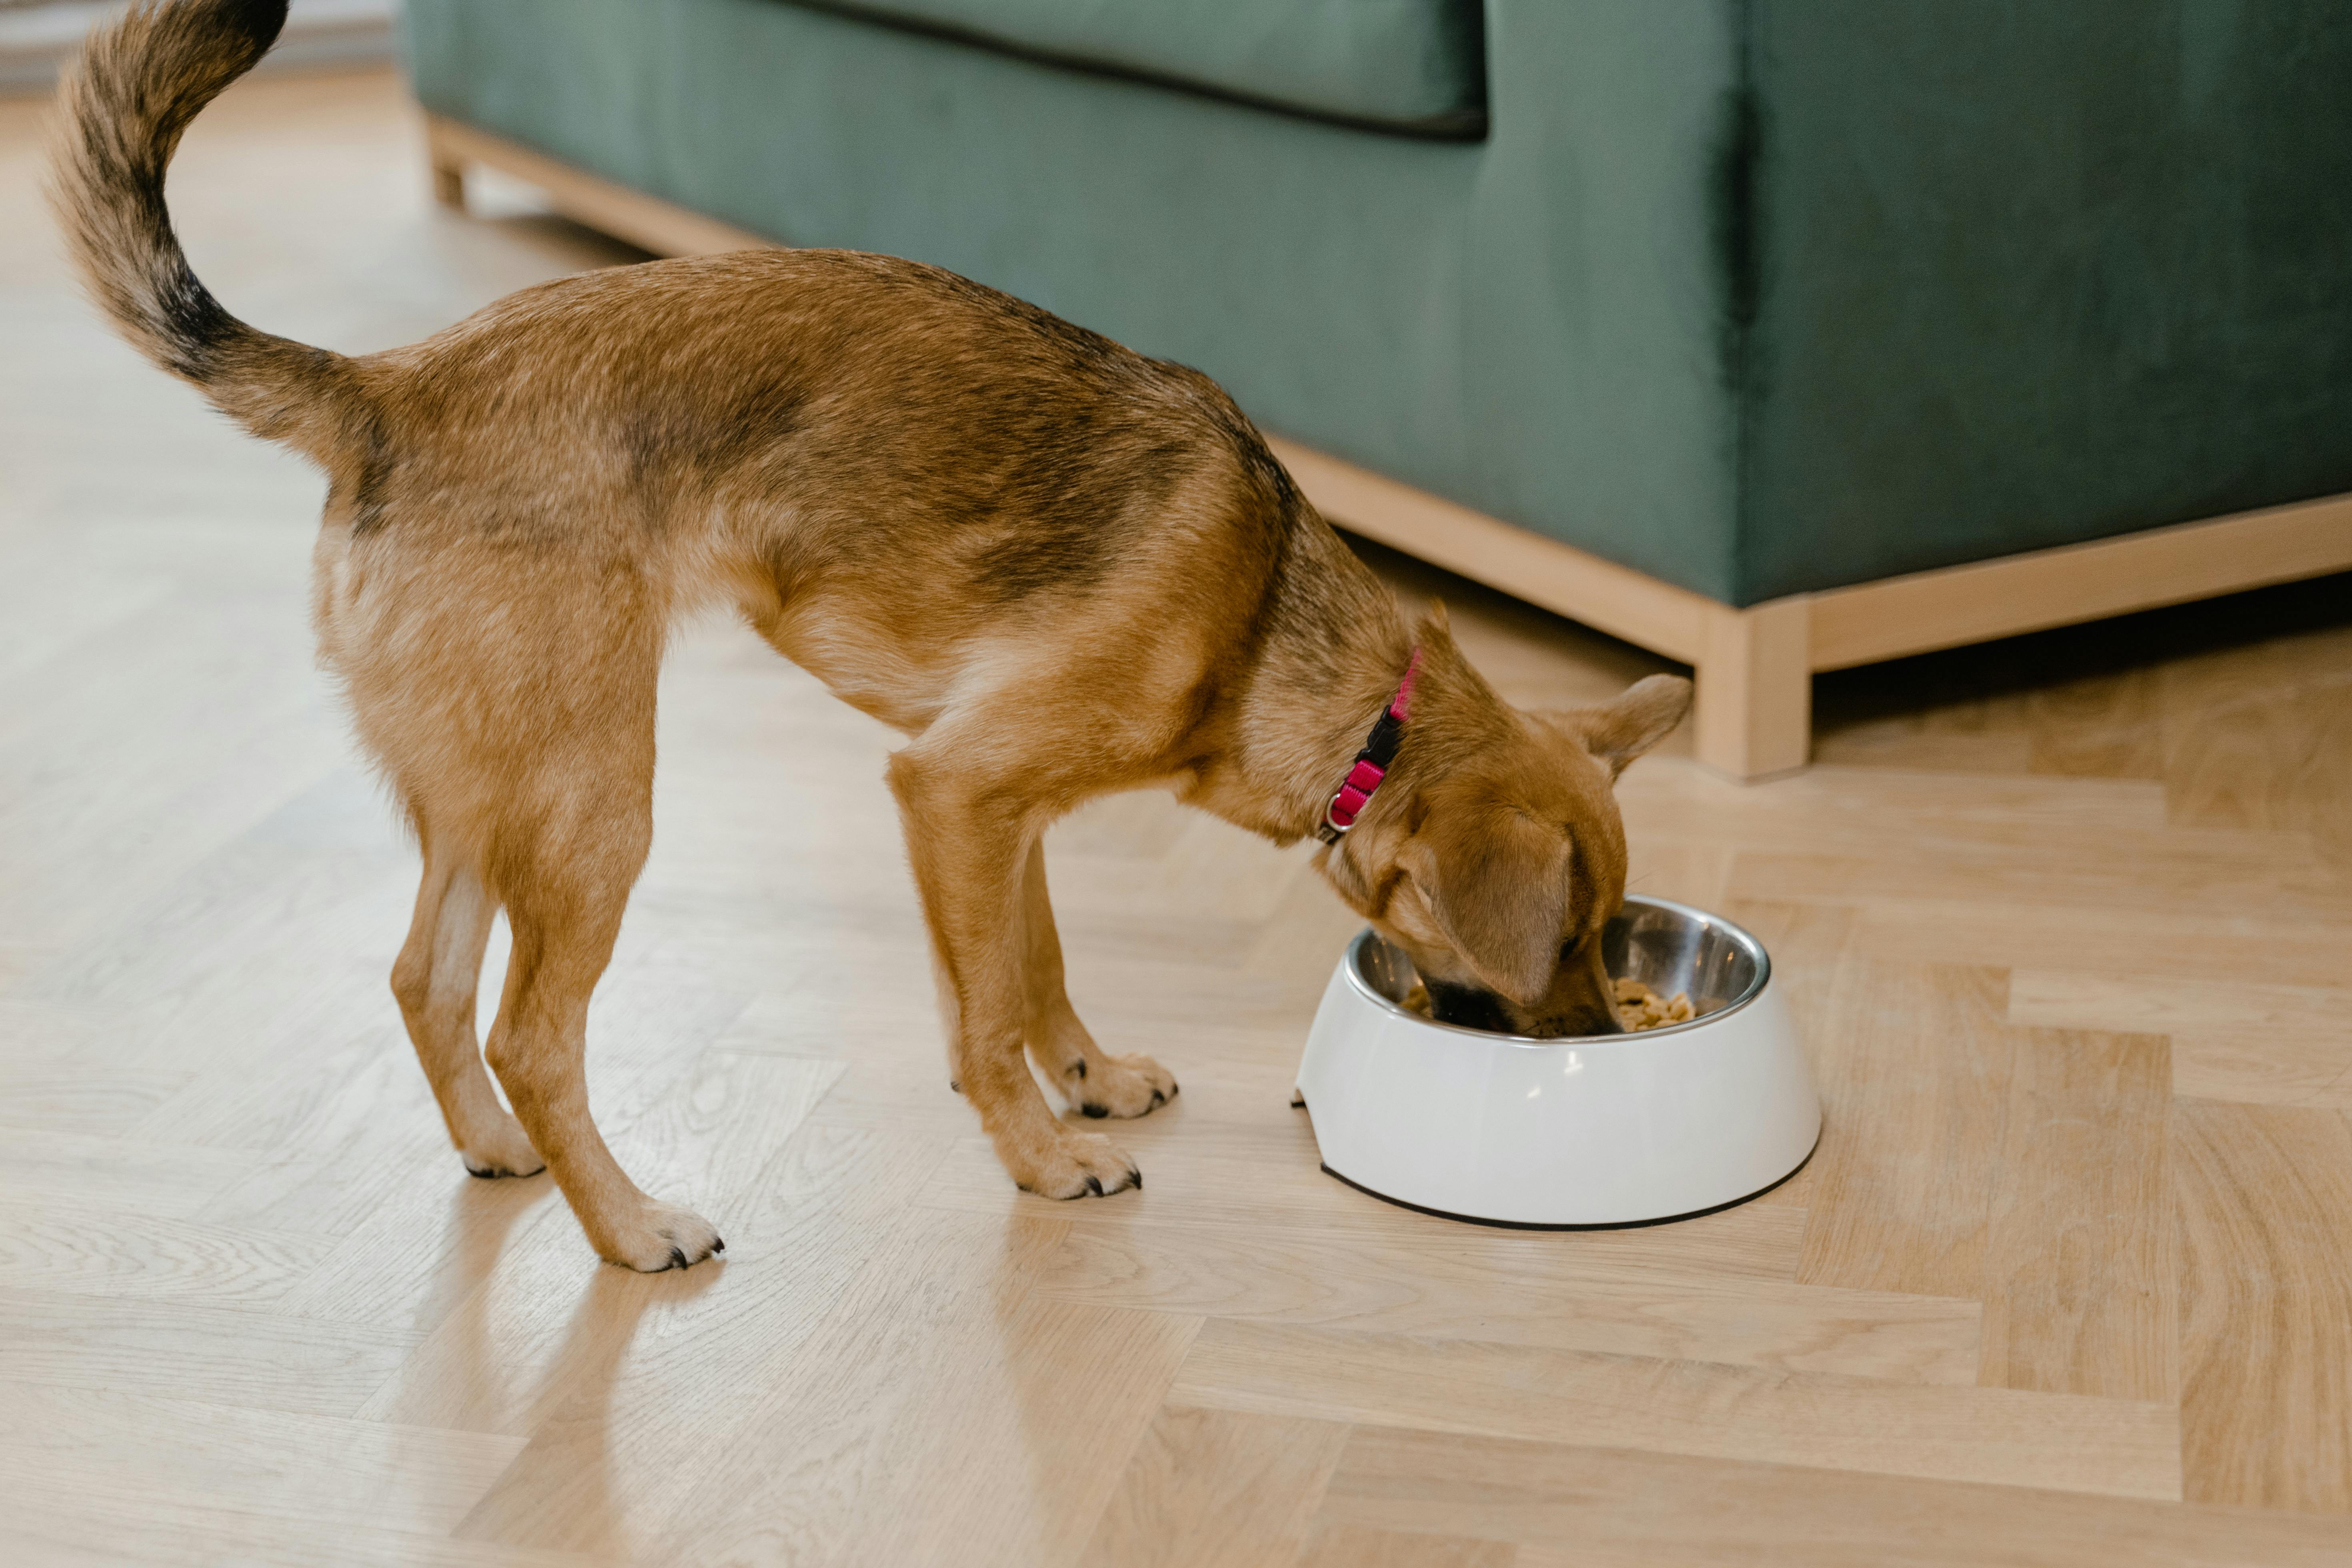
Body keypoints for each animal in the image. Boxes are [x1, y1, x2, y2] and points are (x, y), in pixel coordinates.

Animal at [55, 0, 1693, 1278]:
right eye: (1563, 938)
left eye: (1608, 934)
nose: (1590, 1038)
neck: (1287, 639)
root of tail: (384, 387)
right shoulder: (955, 789)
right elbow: (981, 1015)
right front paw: (1042, 1157)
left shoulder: (997, 810)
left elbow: (1032, 964)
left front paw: (1088, 1079)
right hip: (597, 800)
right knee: (532, 1031)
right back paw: (631, 1226)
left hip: (484, 791)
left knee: (424, 980)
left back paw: (497, 1149)